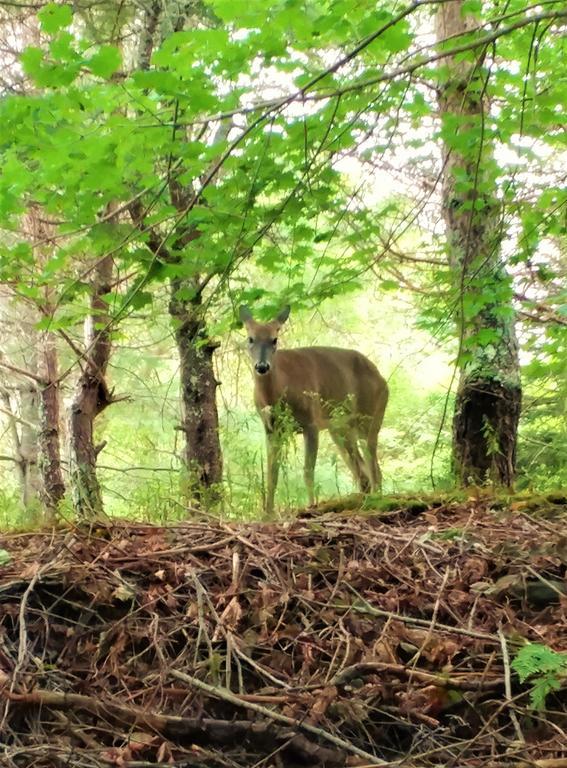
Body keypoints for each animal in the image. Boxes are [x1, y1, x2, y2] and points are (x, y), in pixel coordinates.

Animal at [237, 304, 388, 516]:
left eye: (274, 339)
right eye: (250, 338)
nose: (262, 366)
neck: (276, 393)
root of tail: (382, 379)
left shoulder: (311, 422)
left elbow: (308, 471)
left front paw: (311, 506)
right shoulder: (271, 429)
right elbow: (272, 473)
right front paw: (268, 513)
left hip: (370, 417)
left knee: (374, 467)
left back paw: (377, 501)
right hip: (340, 429)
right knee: (362, 472)